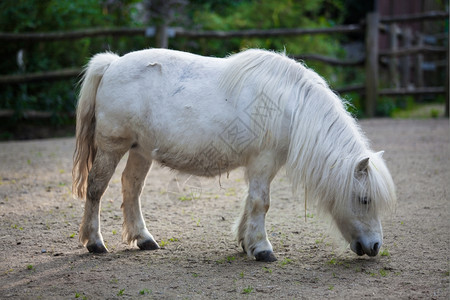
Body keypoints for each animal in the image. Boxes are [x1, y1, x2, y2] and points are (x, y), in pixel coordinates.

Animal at [72, 48, 396, 262]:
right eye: (364, 200)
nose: (376, 247)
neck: (292, 105)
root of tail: (112, 64)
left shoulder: (260, 166)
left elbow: (250, 202)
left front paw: (245, 242)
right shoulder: (264, 162)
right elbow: (261, 203)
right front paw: (262, 249)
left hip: (140, 151)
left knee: (131, 187)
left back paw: (143, 239)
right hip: (113, 147)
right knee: (96, 188)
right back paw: (95, 242)